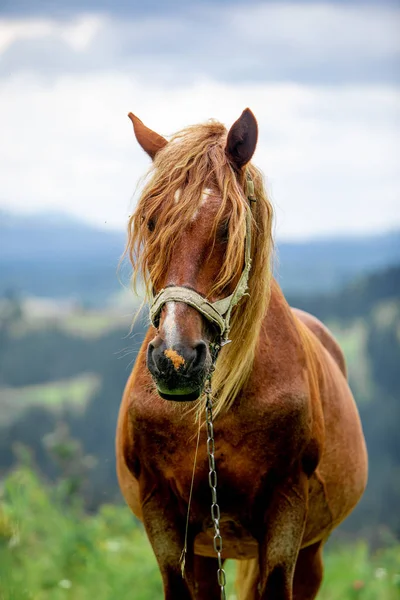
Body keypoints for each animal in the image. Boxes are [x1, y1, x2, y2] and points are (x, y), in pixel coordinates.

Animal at [115, 109, 366, 600]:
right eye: (152, 222)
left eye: (228, 226)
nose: (175, 360)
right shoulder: (162, 513)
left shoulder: (287, 508)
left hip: (312, 550)